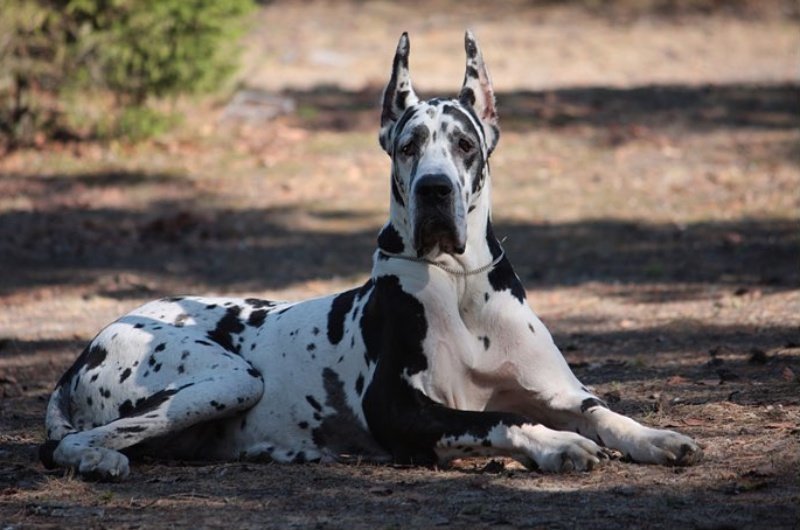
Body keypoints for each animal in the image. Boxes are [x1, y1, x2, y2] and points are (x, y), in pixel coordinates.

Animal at [39, 33, 700, 478]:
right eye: (408, 146)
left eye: (465, 144)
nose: (435, 188)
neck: (460, 285)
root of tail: (86, 348)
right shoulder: (400, 408)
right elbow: (493, 419)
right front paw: (556, 445)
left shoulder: (559, 392)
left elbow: (601, 410)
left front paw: (655, 436)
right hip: (231, 377)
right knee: (68, 444)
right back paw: (98, 462)